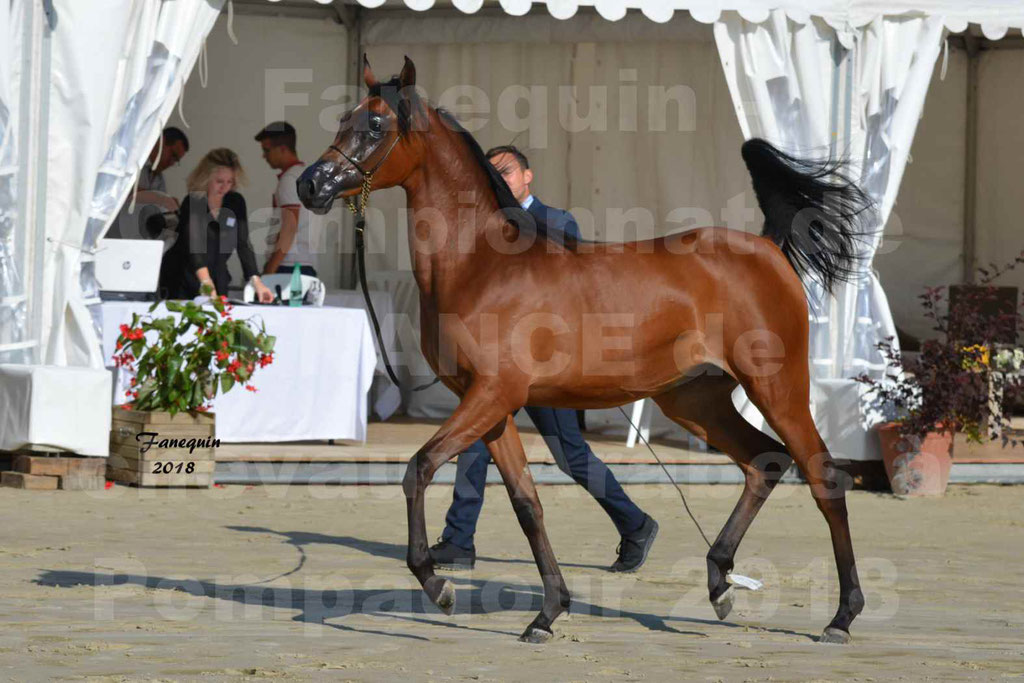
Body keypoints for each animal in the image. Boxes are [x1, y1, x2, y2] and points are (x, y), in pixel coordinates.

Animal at [296, 58, 872, 647]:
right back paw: (719, 585)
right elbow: (527, 503)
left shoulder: (491, 395)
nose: (310, 184)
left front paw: (439, 586)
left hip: (778, 387)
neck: (481, 266)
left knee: (824, 475)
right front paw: (548, 613)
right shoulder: (494, 408)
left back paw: (841, 617)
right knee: (763, 461)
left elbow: (419, 467)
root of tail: (768, 251)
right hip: (694, 400)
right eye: (343, 119)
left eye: (375, 126)